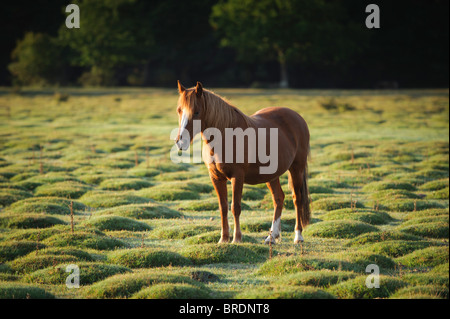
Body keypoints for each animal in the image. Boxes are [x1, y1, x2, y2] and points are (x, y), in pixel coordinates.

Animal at [175, 80, 310, 245]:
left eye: (196, 112)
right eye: (179, 110)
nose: (180, 142)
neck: (225, 137)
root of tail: (297, 117)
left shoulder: (237, 176)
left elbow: (235, 207)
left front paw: (237, 238)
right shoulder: (216, 177)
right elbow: (223, 207)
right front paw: (223, 239)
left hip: (297, 169)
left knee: (297, 199)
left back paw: (298, 236)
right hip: (272, 175)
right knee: (278, 199)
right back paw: (272, 236)